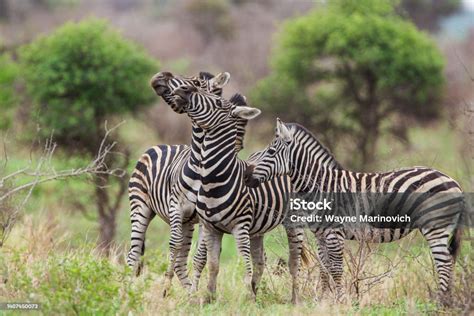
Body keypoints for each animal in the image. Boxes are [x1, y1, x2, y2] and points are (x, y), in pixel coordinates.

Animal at [127, 70, 243, 296]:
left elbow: (200, 256)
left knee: (181, 261)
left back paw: (188, 289)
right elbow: (173, 244)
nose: (161, 75)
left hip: (187, 223)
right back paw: (124, 288)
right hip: (140, 207)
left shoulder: (204, 217)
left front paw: (193, 293)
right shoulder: (176, 207)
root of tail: (160, 145)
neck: (201, 165)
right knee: (133, 254)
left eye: (197, 82)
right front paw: (165, 288)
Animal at [172, 84, 306, 304]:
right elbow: (213, 265)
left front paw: (248, 299)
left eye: (218, 102)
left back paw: (295, 299)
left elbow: (245, 265)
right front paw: (209, 298)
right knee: (260, 261)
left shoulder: (240, 227)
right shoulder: (211, 228)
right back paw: (257, 292)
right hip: (257, 229)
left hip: (294, 221)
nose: (184, 89)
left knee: (295, 259)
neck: (214, 179)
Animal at [243, 117, 464, 304]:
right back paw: (447, 301)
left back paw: (441, 303)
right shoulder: (320, 235)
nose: (246, 178)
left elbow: (336, 269)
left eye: (271, 152)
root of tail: (452, 180)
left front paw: (340, 301)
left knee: (444, 263)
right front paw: (324, 301)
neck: (321, 186)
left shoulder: (334, 233)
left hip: (435, 227)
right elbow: (324, 268)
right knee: (448, 261)